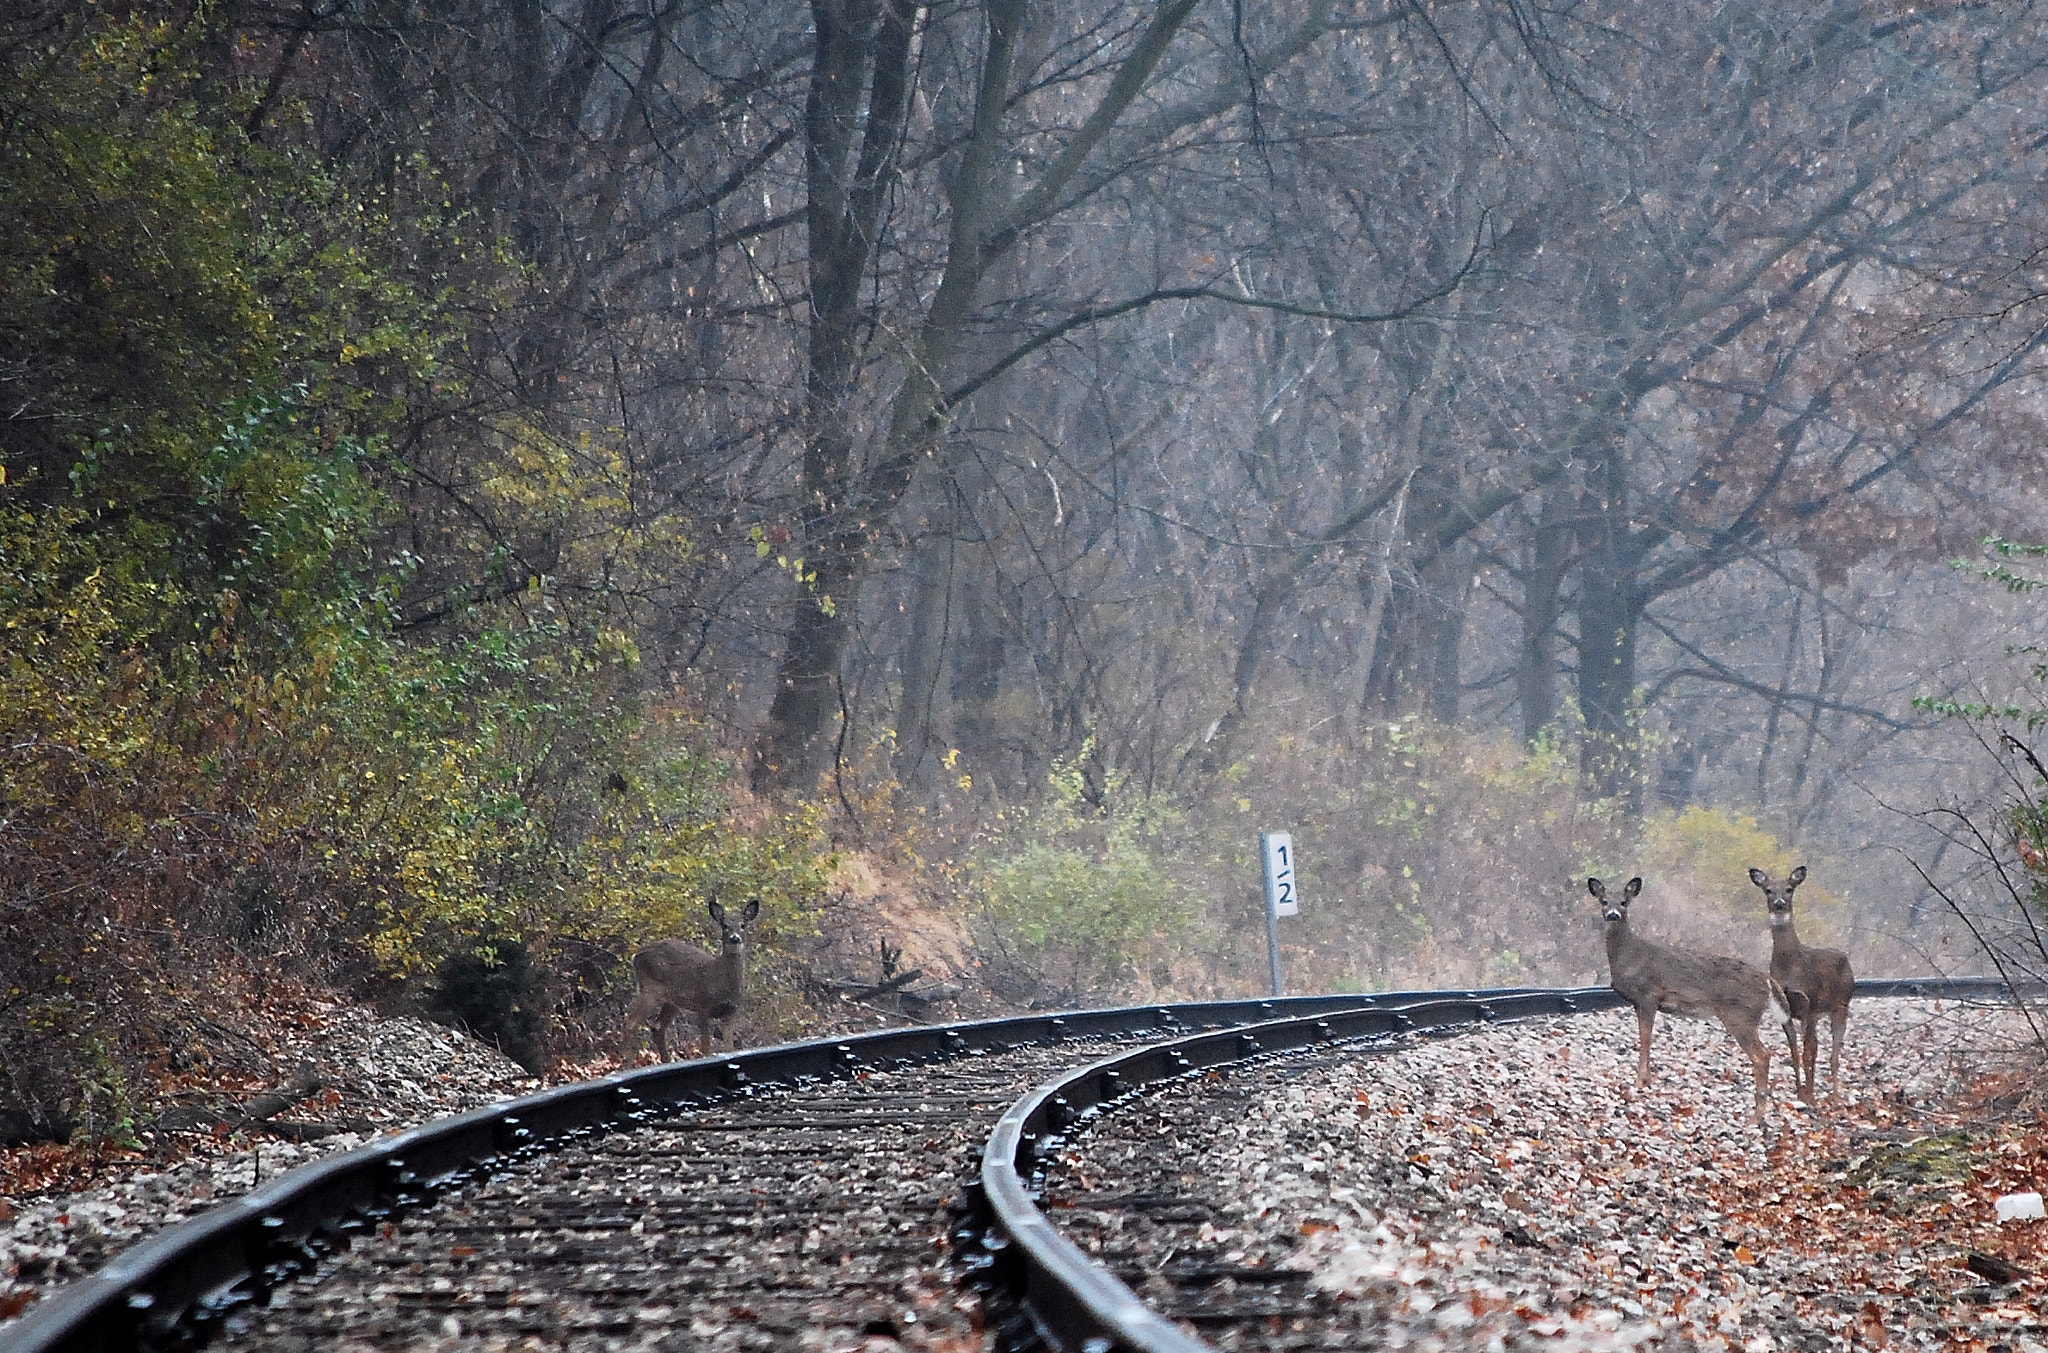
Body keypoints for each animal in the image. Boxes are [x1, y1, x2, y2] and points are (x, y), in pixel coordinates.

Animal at [620, 897, 760, 1066]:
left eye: (743, 925)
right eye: (725, 925)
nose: (735, 938)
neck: (723, 983)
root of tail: (636, 955)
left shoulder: (731, 1012)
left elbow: (729, 1048)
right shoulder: (703, 1006)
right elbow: (706, 1047)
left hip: (672, 1001)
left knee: (657, 1027)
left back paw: (665, 1061)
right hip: (650, 988)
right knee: (631, 1021)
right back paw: (626, 1061)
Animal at [1590, 876, 1783, 1123]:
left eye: (1624, 902)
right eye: (1604, 901)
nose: (1613, 914)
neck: (1630, 957)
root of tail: (1767, 981)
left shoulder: (1649, 995)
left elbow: (1645, 1038)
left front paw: (1640, 1081)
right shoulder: (1639, 1002)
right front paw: (1646, 1080)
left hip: (1741, 1015)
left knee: (1762, 1055)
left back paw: (1756, 1116)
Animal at [1748, 866, 1853, 1103]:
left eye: (1789, 889)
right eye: (1768, 890)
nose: (1779, 903)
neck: (1791, 965)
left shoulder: (1808, 1004)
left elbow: (1807, 1053)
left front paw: (1810, 1097)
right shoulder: (1785, 1009)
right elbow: (1795, 1052)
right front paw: (1799, 1092)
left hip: (1841, 1005)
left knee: (1834, 1053)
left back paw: (1834, 1096)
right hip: (1820, 1012)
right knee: (1817, 1046)